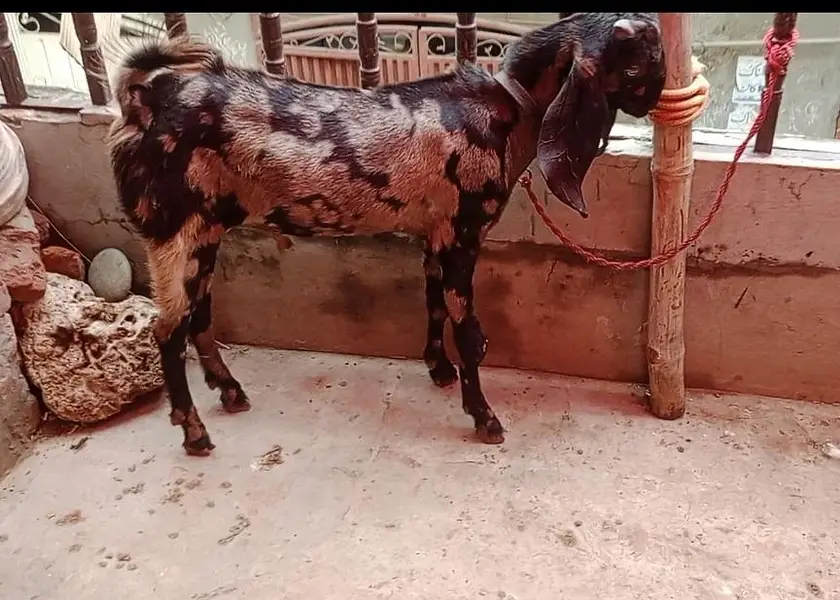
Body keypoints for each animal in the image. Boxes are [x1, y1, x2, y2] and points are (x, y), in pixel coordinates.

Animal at [107, 13, 666, 456]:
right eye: (639, 64)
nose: (661, 97)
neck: (508, 110)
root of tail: (146, 98)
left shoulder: (434, 234)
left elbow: (433, 302)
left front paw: (439, 370)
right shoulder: (463, 232)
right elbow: (470, 332)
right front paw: (484, 417)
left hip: (206, 229)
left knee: (199, 314)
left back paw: (230, 392)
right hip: (175, 230)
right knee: (167, 329)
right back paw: (195, 432)